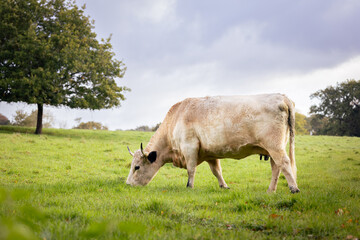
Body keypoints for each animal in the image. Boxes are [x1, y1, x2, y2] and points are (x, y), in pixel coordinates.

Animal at [125, 94, 300, 193]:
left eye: (137, 167)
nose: (127, 185)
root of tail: (282, 97)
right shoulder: (209, 153)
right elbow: (217, 171)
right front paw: (224, 186)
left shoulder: (190, 148)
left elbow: (191, 170)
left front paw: (189, 186)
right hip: (273, 148)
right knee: (276, 167)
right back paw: (271, 190)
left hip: (274, 146)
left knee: (284, 163)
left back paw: (294, 188)